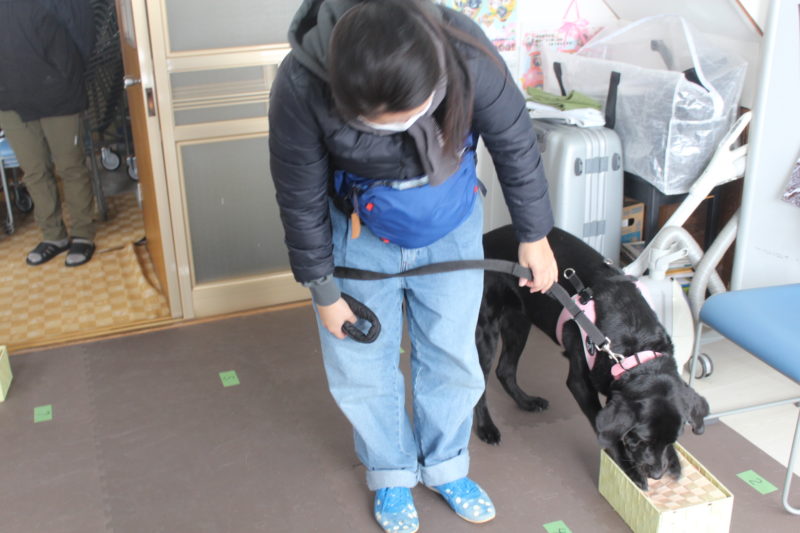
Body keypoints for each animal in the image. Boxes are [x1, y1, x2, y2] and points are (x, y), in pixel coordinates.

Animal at [474, 225, 710, 490]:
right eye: (642, 439)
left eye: (672, 439)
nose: (658, 474)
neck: (635, 349)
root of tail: (486, 239)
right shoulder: (579, 382)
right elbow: (608, 433)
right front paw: (631, 471)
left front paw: (675, 461)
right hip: (486, 329)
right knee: (481, 383)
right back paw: (487, 428)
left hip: (521, 319)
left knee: (505, 370)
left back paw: (527, 402)